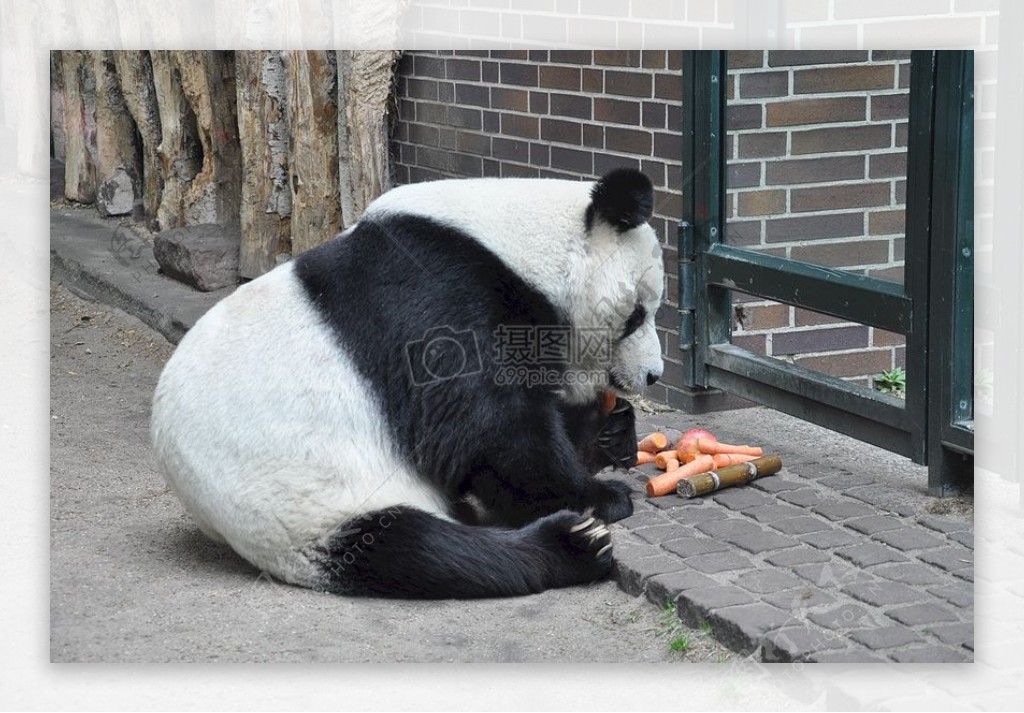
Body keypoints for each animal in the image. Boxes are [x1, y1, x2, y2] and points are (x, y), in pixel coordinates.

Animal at [151, 166, 663, 594]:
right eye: (638, 314)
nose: (653, 374)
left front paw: (611, 430)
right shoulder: (436, 294)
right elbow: (482, 428)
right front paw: (600, 497)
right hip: (308, 508)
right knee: (425, 551)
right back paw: (575, 545)